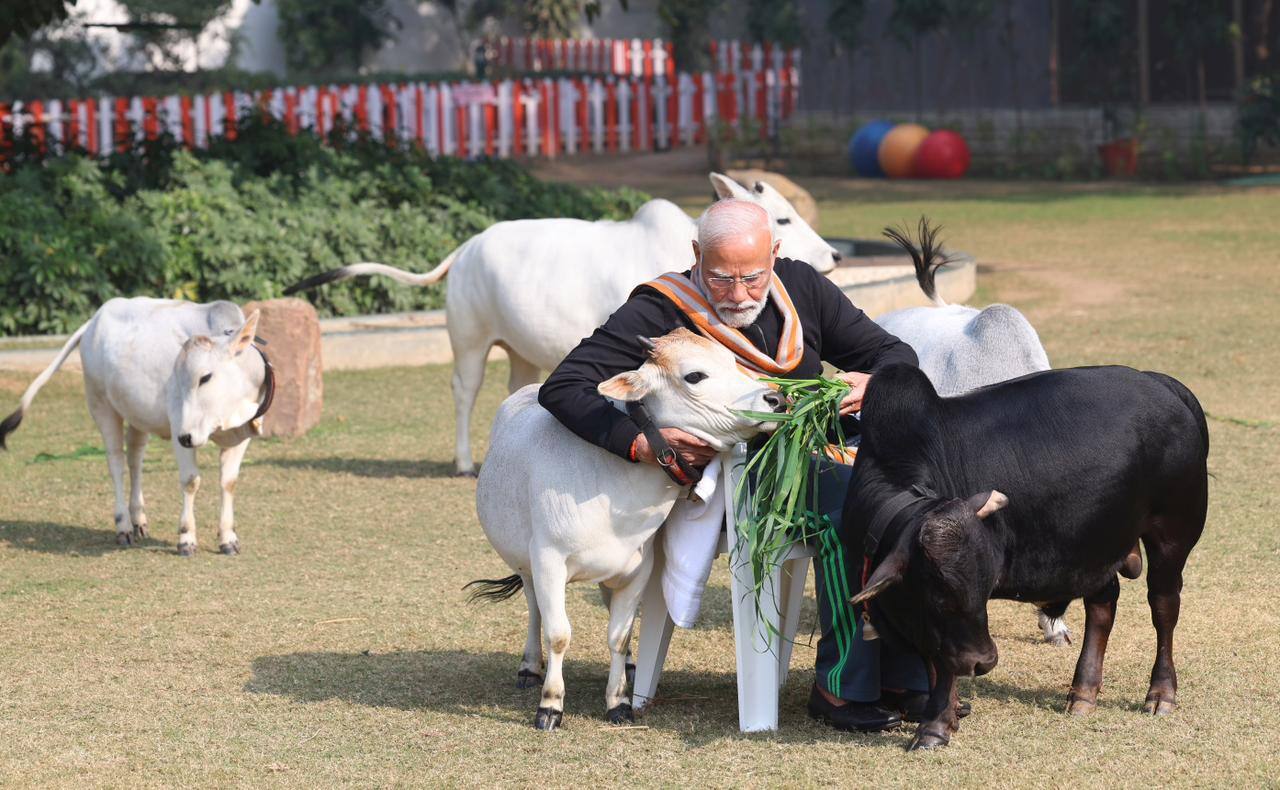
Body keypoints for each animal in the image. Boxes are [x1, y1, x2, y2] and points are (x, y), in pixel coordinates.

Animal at [284, 171, 834, 473]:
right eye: (782, 218)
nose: (831, 255)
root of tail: (466, 247)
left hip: (519, 351)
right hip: (469, 340)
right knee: (464, 390)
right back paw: (463, 462)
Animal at [844, 363, 1203, 747]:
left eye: (983, 589)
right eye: (939, 595)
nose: (985, 662)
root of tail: (1158, 381)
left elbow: (945, 665)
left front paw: (934, 726)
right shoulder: (924, 622)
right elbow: (935, 659)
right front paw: (948, 713)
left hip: (1172, 536)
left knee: (1164, 607)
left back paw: (1161, 693)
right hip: (1096, 545)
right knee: (1102, 606)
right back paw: (1083, 692)